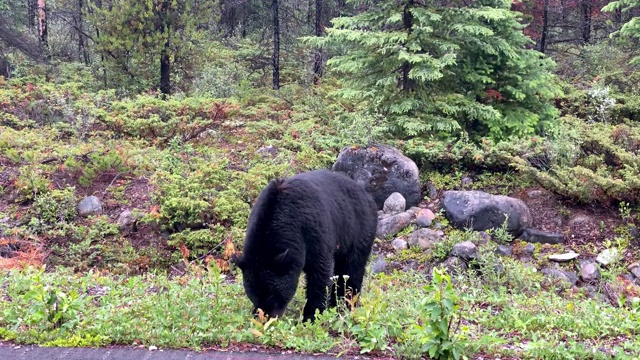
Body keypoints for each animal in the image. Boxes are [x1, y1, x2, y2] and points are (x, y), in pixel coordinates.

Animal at [232, 169, 378, 320]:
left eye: (273, 294)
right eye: (254, 295)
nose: (267, 317)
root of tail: (367, 195)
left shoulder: (312, 229)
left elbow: (320, 271)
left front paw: (311, 316)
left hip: (359, 229)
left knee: (352, 268)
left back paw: (345, 304)